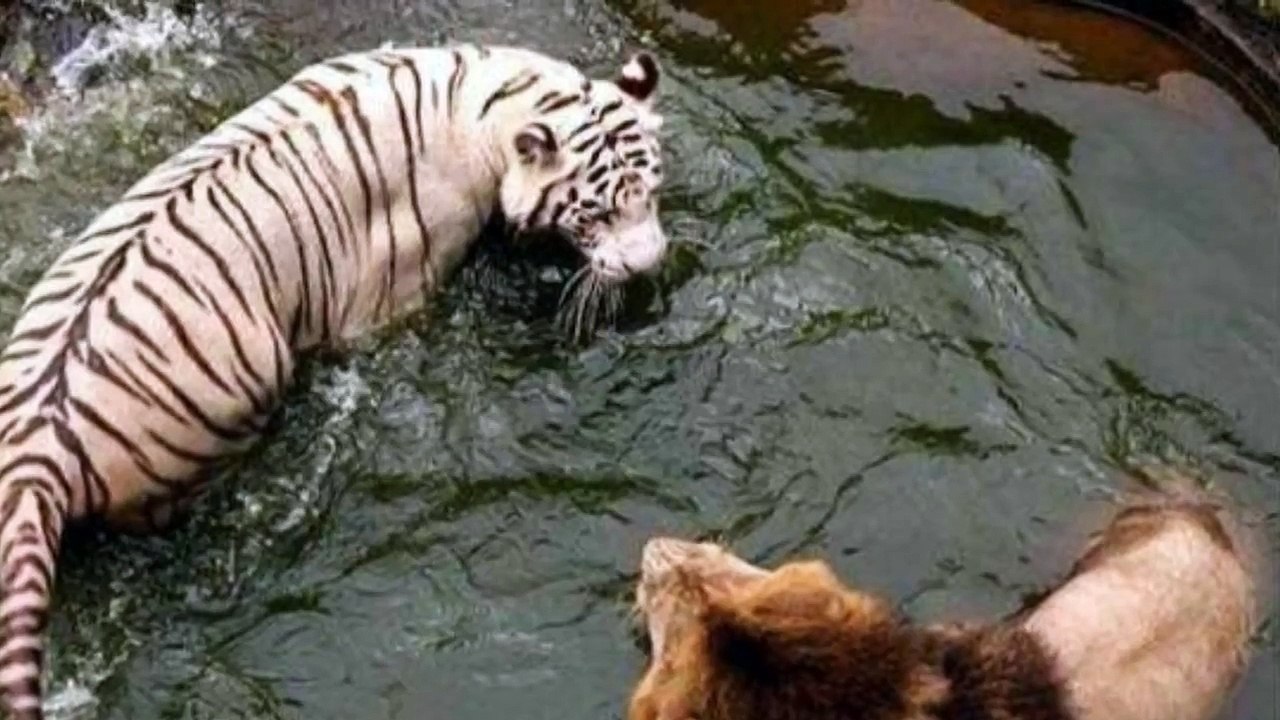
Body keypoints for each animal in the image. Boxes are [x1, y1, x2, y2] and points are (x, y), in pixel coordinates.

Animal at [0, 43, 668, 719]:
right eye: (596, 212)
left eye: (653, 191)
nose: (650, 262)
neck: (493, 98)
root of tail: (37, 449)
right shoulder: (392, 293)